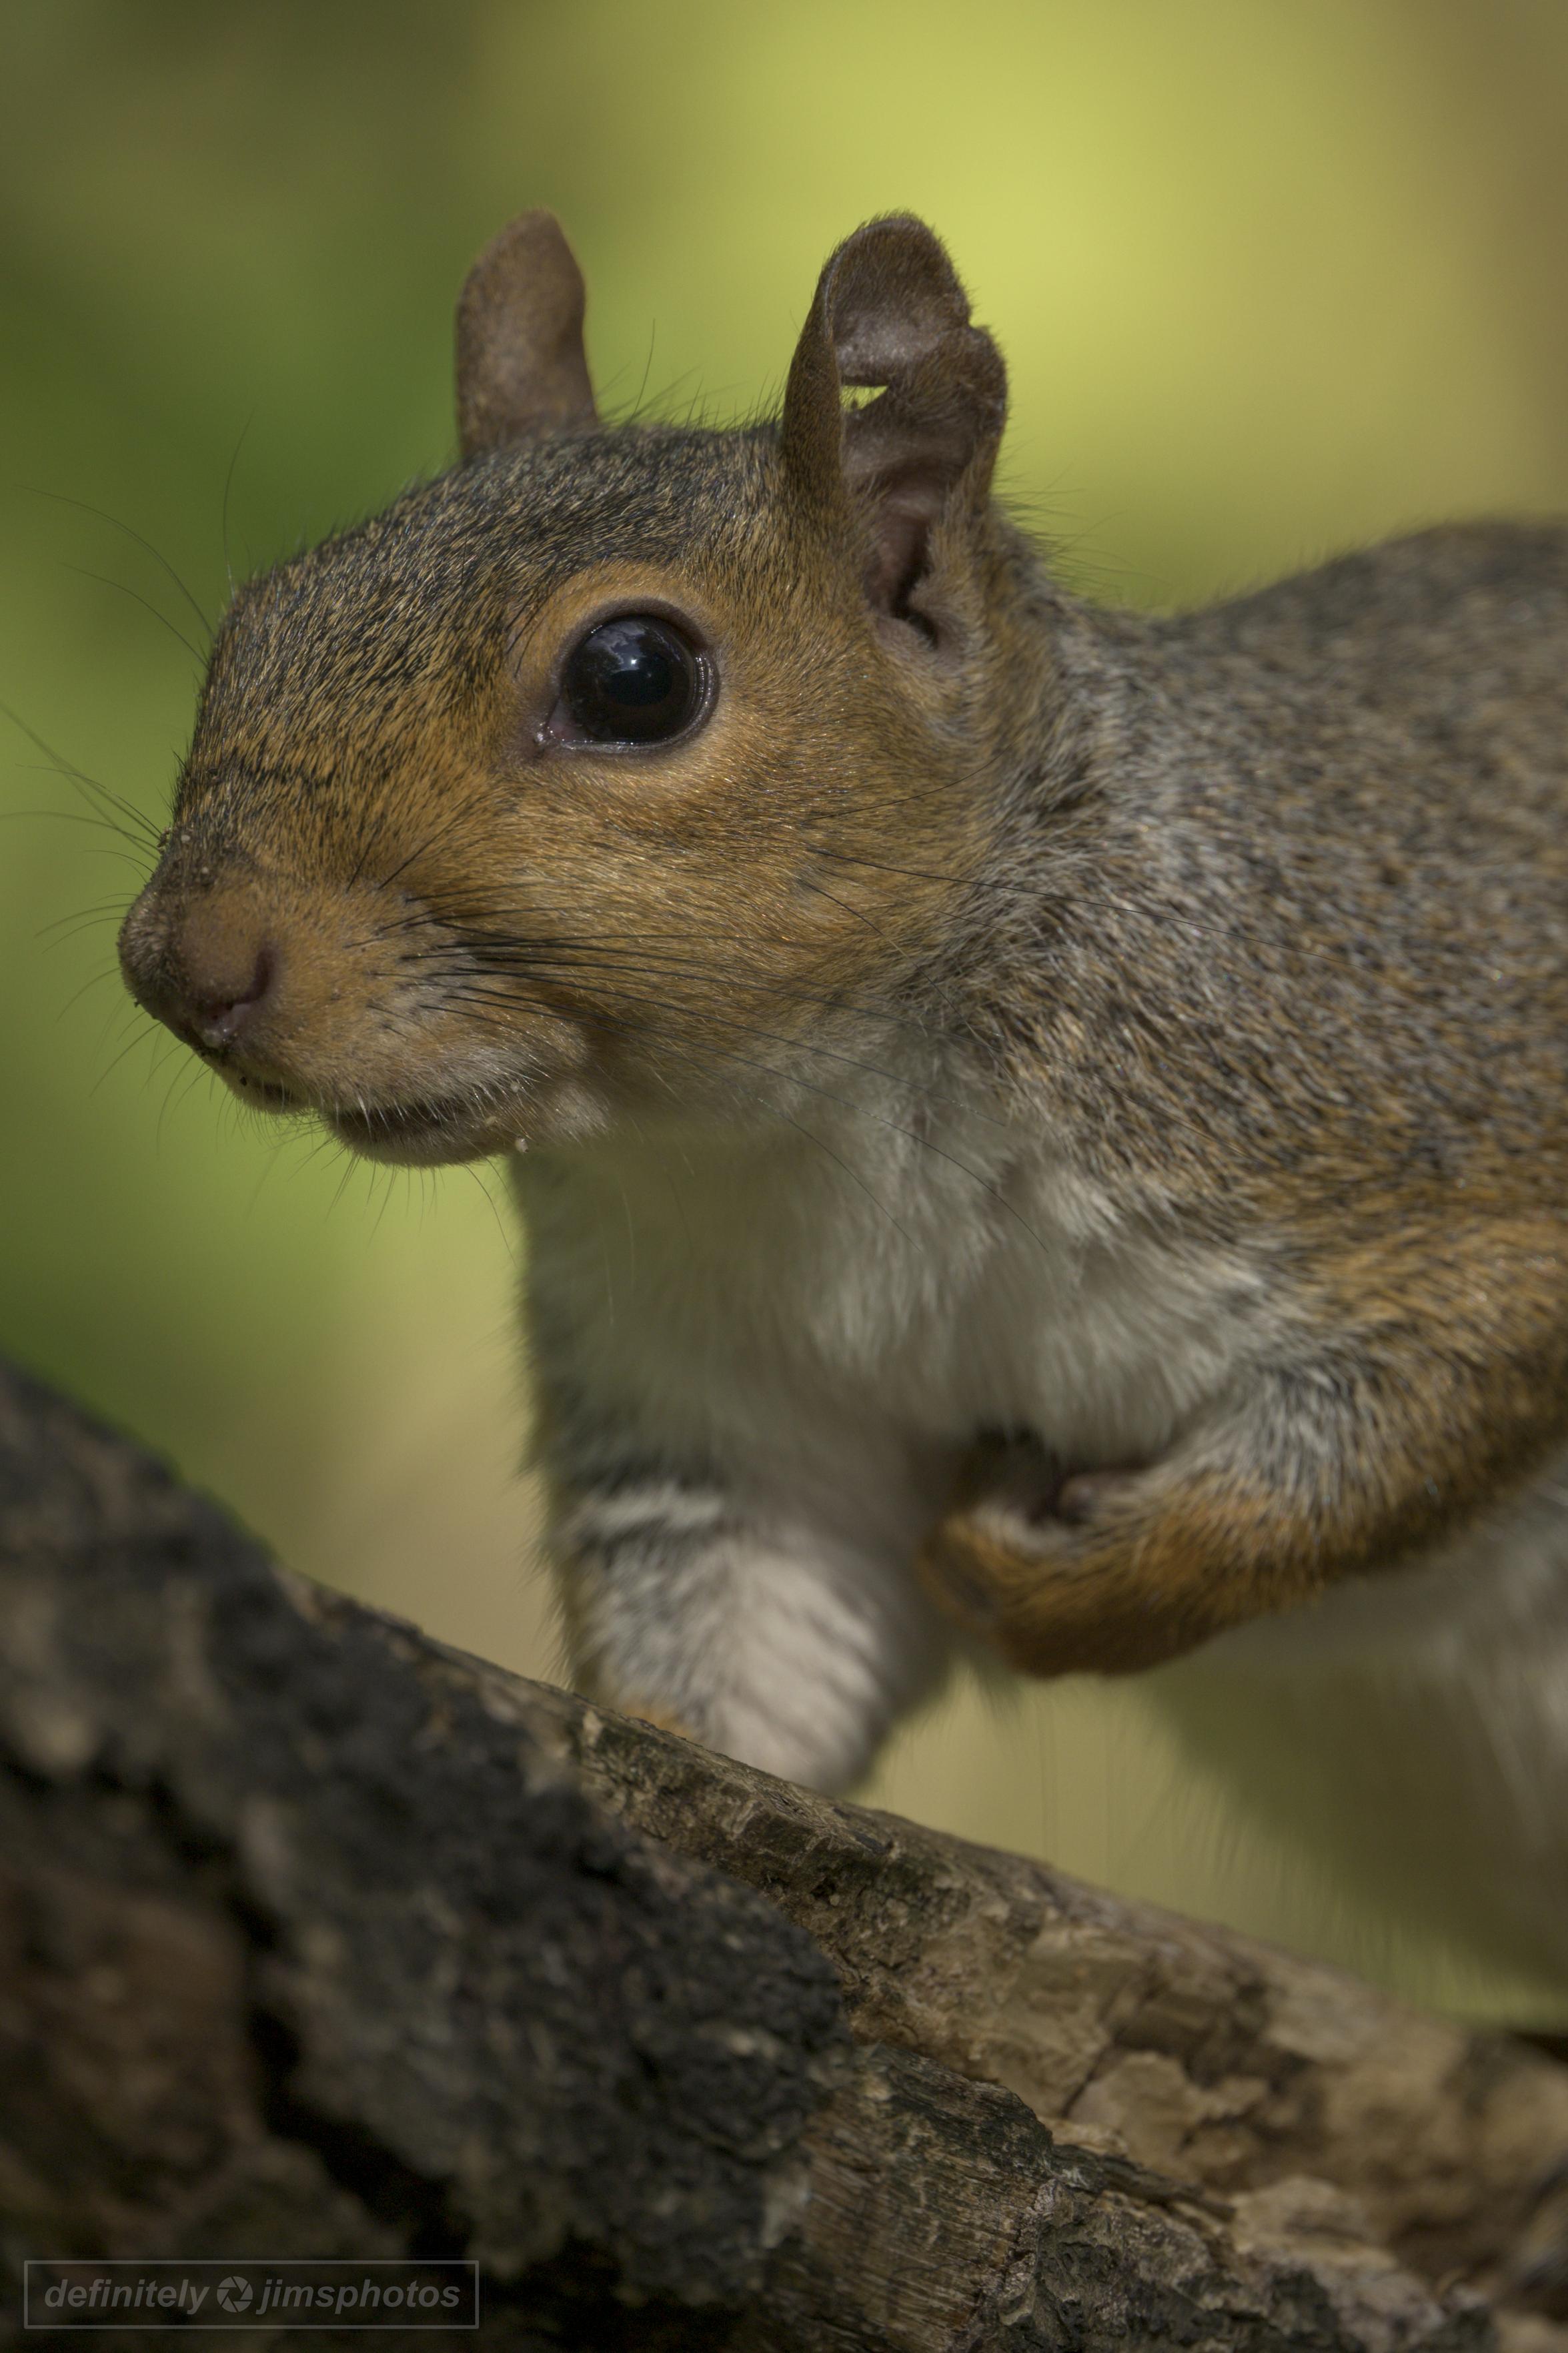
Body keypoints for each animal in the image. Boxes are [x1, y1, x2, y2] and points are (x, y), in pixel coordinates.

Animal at [118, 209, 1568, 1998]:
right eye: (260, 616)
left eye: (633, 675)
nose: (177, 960)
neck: (818, 1131)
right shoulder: (731, 1419)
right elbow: (745, 1670)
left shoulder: (1395, 1119)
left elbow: (1412, 1416)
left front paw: (1055, 1579)